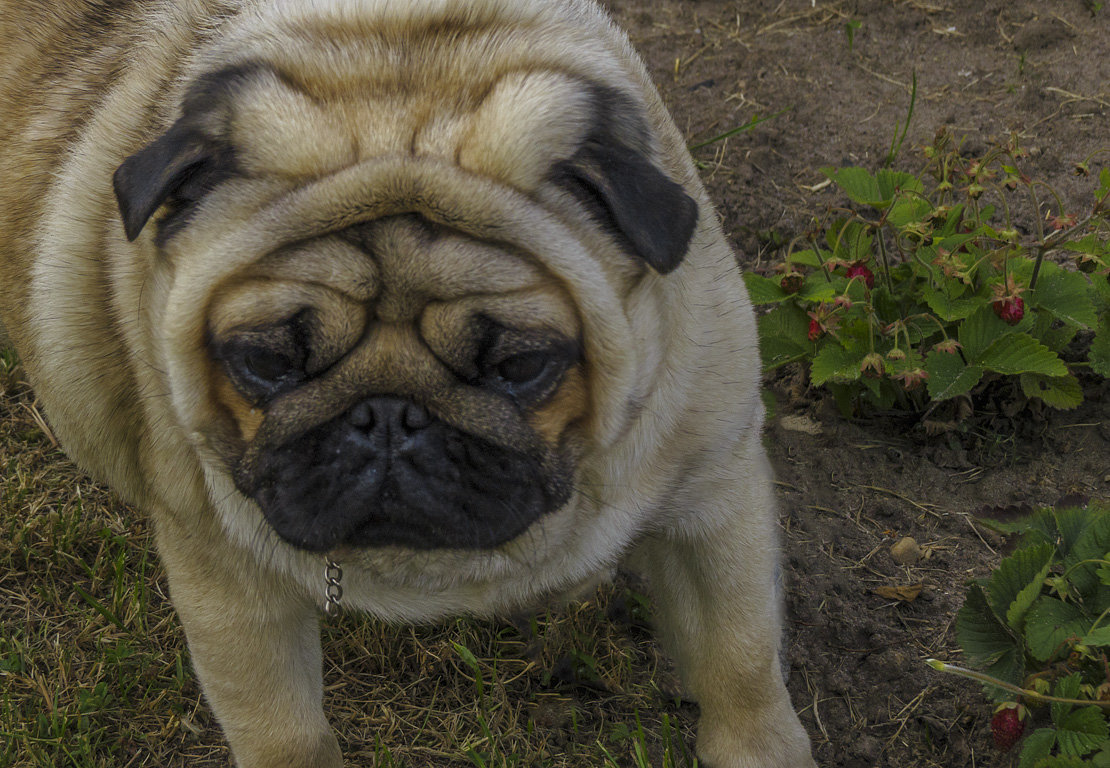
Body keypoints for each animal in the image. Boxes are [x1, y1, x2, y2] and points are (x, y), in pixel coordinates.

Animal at [0, 0, 816, 763]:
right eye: (265, 361)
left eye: (520, 367)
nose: (387, 415)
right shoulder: (229, 582)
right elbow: (283, 731)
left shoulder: (711, 499)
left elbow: (740, 658)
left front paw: (762, 748)